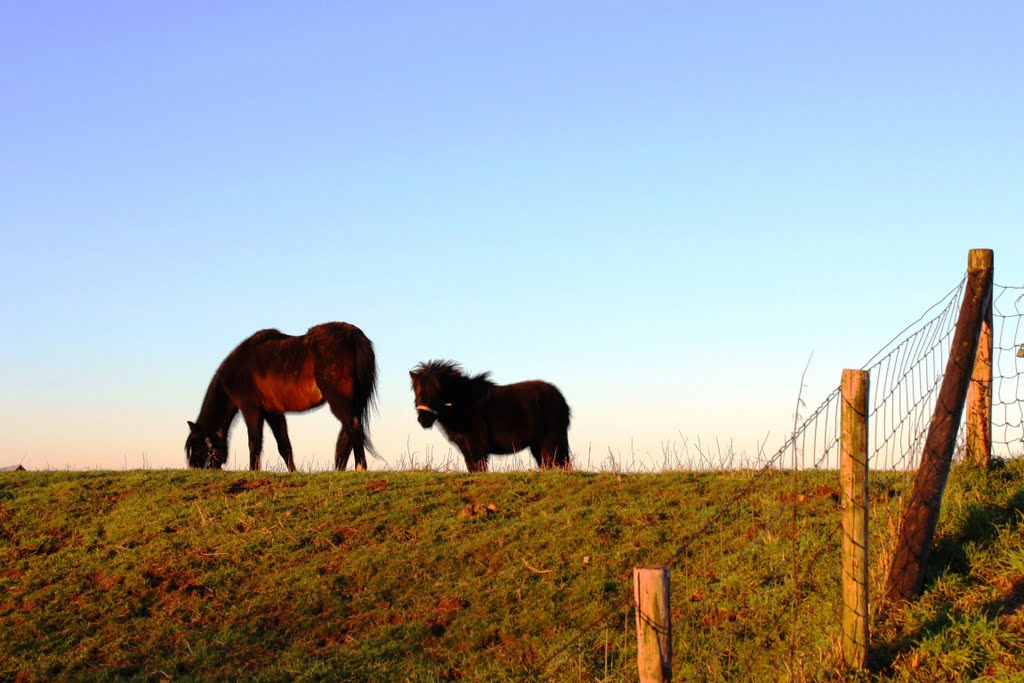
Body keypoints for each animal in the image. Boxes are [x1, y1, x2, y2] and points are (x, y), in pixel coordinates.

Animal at [184, 323, 376, 473]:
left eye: (197, 448)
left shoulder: (250, 409)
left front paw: (253, 471)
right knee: (349, 431)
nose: (194, 469)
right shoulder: (273, 412)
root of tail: (353, 335)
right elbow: (284, 445)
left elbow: (254, 442)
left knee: (352, 426)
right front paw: (294, 472)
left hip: (339, 400)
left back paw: (360, 468)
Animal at [407, 360, 573, 473]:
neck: (462, 401)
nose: (424, 419)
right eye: (416, 391)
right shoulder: (465, 446)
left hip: (550, 441)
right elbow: (471, 467)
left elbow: (479, 467)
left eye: (436, 391)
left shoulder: (476, 444)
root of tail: (560, 398)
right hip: (538, 444)